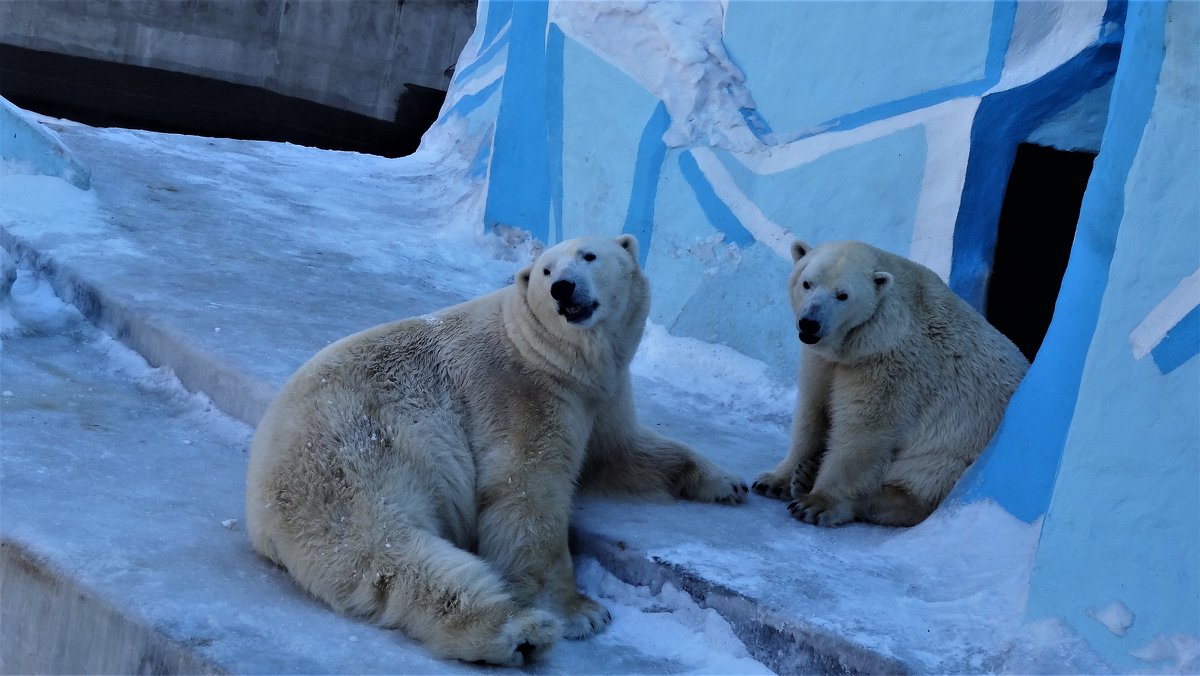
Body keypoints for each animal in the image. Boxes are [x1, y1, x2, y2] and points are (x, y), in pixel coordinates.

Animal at [248, 234, 744, 667]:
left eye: (588, 255)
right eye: (546, 269)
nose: (563, 288)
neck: (550, 351)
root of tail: (259, 502)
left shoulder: (602, 395)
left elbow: (621, 453)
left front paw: (727, 482)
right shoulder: (522, 393)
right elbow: (527, 493)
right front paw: (581, 611)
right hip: (354, 458)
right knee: (388, 550)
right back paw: (519, 632)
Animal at [748, 238, 1022, 528]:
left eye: (843, 295)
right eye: (807, 283)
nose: (810, 323)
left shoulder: (892, 368)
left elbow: (865, 432)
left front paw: (816, 503)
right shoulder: (823, 361)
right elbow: (813, 411)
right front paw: (773, 480)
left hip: (956, 452)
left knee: (921, 483)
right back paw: (805, 474)